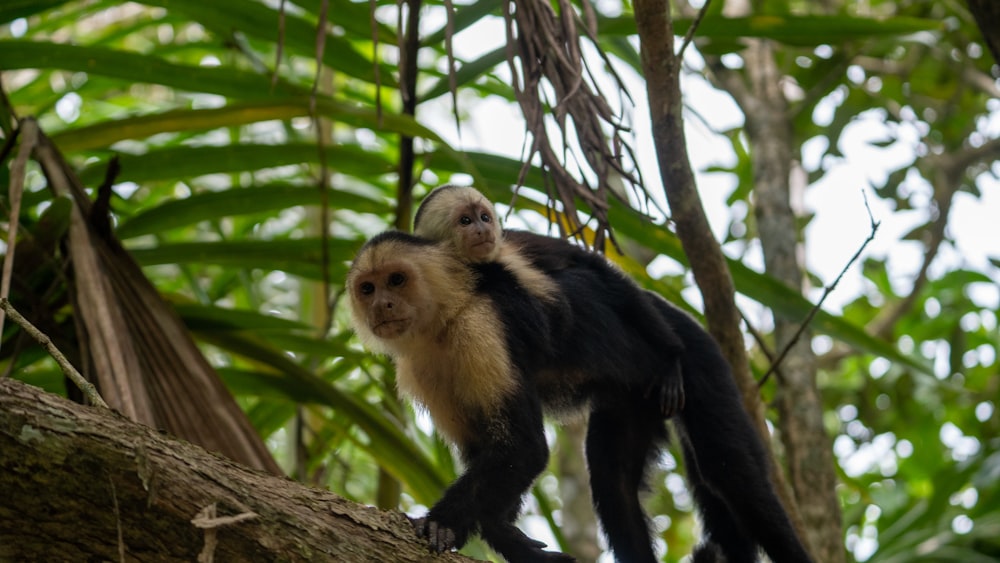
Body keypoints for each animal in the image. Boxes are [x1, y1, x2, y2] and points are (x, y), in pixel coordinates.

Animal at [410, 187, 816, 563]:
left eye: (483, 216)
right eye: (465, 221)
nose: (483, 229)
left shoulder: (513, 253)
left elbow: (588, 265)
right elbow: (498, 452)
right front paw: (503, 533)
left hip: (701, 358)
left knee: (730, 471)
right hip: (631, 401)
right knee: (614, 483)